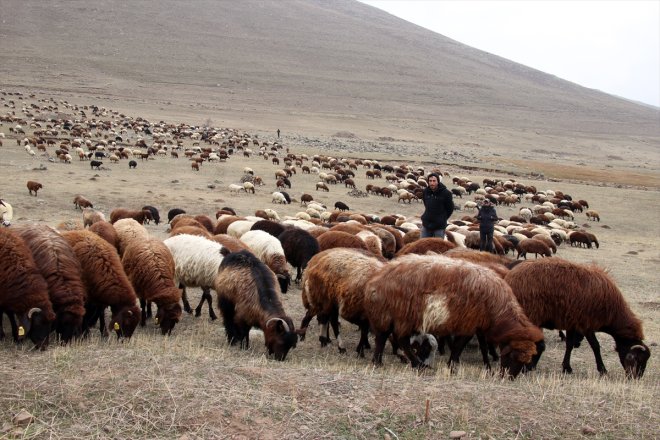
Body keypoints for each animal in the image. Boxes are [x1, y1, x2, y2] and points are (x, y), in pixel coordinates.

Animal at [364, 253, 544, 376]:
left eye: (526, 360)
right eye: (513, 356)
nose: (509, 377)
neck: (497, 308)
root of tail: (376, 279)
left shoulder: (478, 324)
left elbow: (482, 347)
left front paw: (485, 366)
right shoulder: (468, 323)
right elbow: (459, 346)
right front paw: (452, 365)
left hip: (393, 315)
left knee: (386, 337)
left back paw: (380, 361)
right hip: (398, 314)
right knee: (396, 339)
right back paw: (414, 365)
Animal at [506, 258, 648, 378]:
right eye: (635, 358)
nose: (635, 377)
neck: (613, 313)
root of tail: (511, 277)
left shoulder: (572, 323)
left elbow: (569, 345)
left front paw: (566, 368)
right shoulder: (587, 324)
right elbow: (596, 346)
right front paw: (602, 370)